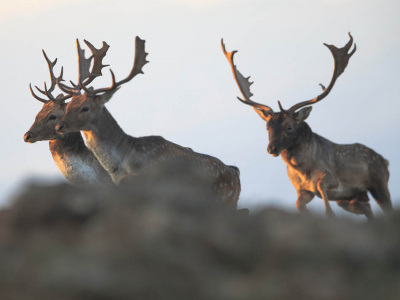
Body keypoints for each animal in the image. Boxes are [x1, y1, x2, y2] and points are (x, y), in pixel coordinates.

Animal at [53, 36, 241, 207]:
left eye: (85, 108)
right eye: (69, 105)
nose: (59, 126)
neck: (124, 162)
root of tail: (235, 173)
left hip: (225, 199)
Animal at [222, 34, 394, 219]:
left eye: (289, 127)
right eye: (267, 127)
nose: (271, 148)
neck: (303, 170)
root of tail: (385, 160)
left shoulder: (331, 178)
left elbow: (321, 188)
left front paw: (329, 214)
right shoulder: (301, 191)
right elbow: (298, 204)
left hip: (379, 183)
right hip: (352, 199)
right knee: (369, 212)